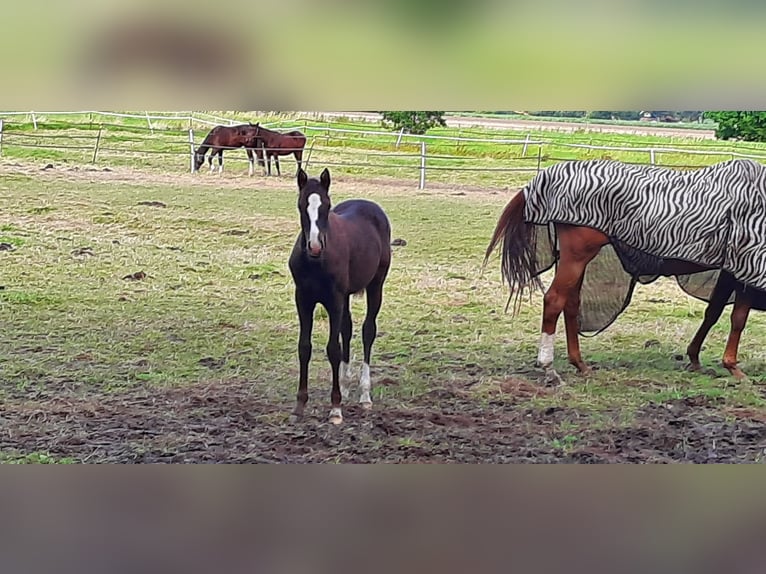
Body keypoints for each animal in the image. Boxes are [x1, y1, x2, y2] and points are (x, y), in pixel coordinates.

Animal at [290, 164, 392, 426]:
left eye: (326, 206)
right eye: (301, 205)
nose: (315, 246)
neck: (316, 262)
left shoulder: (334, 300)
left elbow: (333, 349)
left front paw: (335, 409)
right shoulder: (303, 299)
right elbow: (304, 347)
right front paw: (300, 405)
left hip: (376, 285)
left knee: (368, 331)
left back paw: (364, 395)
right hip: (346, 295)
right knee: (347, 329)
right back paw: (345, 387)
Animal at [488, 191, 764, 384]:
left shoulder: (730, 272)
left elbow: (713, 313)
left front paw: (695, 358)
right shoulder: (745, 270)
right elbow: (738, 319)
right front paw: (732, 366)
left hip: (577, 261)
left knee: (571, 304)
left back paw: (580, 364)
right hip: (576, 258)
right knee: (554, 301)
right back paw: (549, 368)